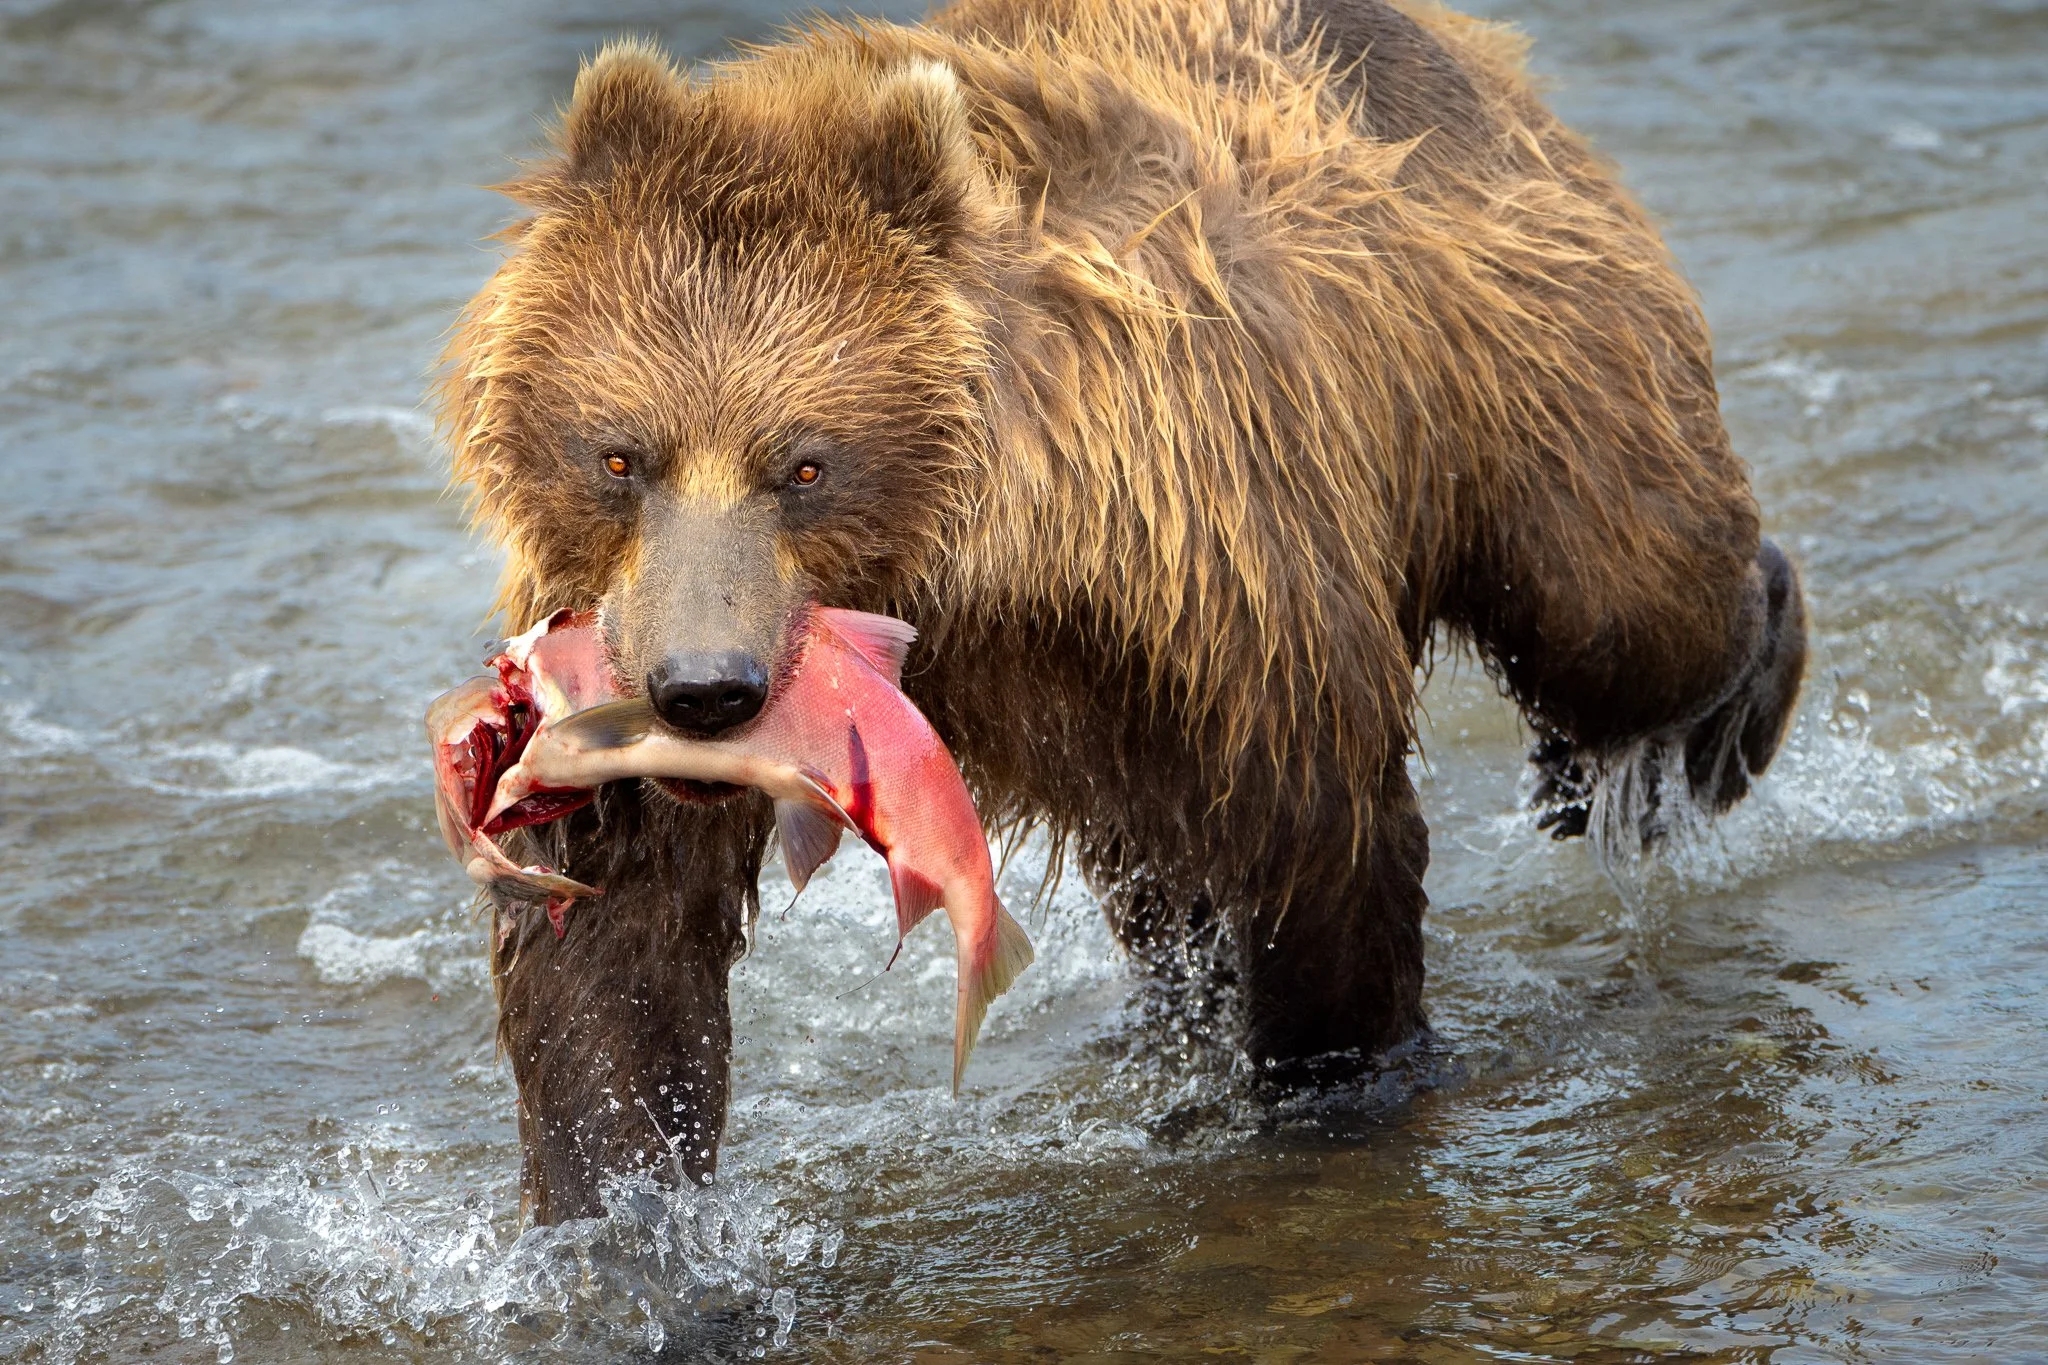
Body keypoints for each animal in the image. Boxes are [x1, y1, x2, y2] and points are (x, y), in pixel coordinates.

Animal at [437, 0, 1807, 1223]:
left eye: (807, 464)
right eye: (621, 454)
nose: (704, 687)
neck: (972, 565)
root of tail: (1456, 40)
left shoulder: (1219, 571)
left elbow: (1317, 830)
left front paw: (1330, 1084)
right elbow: (618, 939)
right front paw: (627, 1234)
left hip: (1513, 344)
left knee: (1619, 605)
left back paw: (1699, 722)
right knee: (1160, 867)